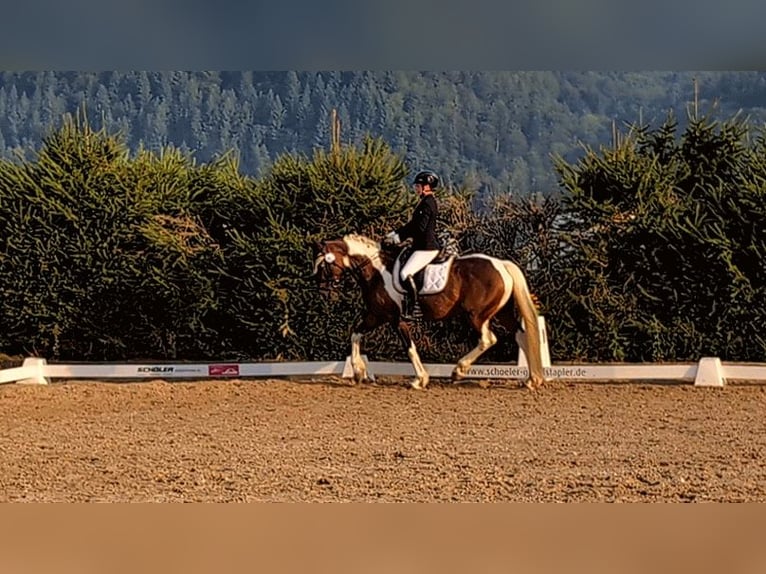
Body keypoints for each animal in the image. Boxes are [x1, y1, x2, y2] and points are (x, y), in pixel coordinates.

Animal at [311, 233, 546, 390]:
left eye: (324, 265)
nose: (323, 293)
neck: (376, 272)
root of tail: (502, 264)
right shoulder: (376, 315)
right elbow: (355, 333)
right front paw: (359, 372)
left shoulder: (394, 319)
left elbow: (409, 347)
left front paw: (419, 379)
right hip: (501, 313)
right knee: (521, 336)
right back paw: (532, 380)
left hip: (476, 315)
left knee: (488, 339)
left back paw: (458, 371)